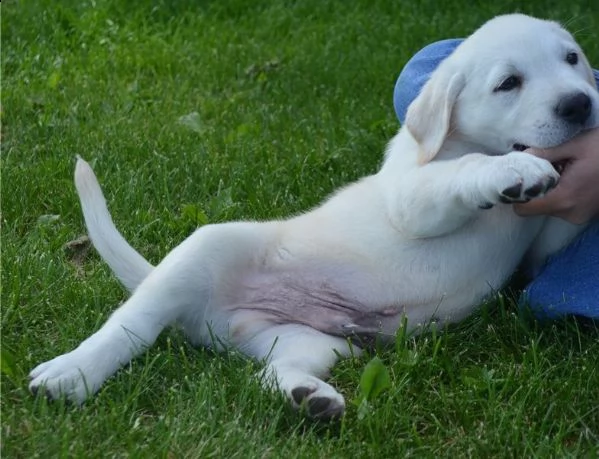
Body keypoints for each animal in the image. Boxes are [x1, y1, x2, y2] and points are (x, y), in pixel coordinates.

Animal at [29, 14, 599, 418]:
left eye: (572, 57)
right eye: (508, 83)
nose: (580, 104)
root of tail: (208, 316)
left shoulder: (542, 241)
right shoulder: (409, 196)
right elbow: (462, 171)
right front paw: (512, 169)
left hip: (312, 343)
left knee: (268, 373)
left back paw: (308, 397)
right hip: (207, 250)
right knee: (131, 324)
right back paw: (70, 374)